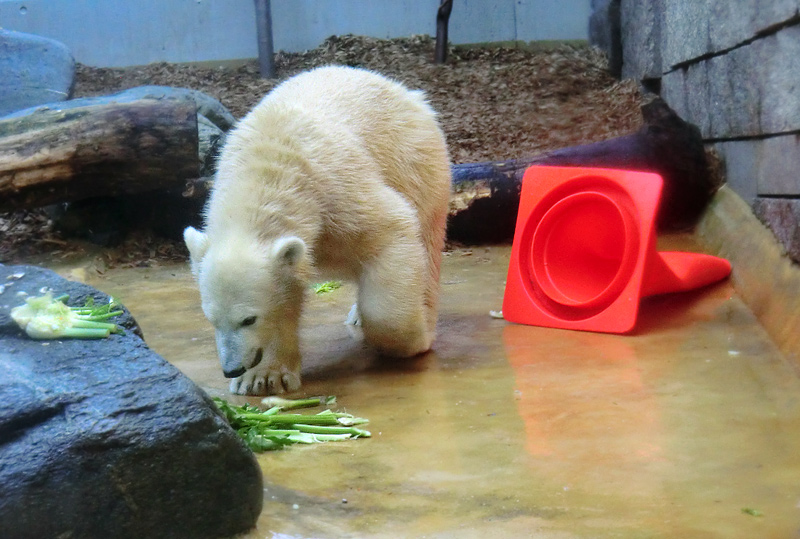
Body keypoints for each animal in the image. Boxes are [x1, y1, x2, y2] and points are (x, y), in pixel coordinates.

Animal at [184, 66, 454, 396]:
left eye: (249, 319)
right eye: (211, 318)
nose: (231, 368)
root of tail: (407, 93)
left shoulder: (338, 195)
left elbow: (392, 229)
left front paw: (412, 340)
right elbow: (285, 295)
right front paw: (263, 377)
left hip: (417, 166)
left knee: (425, 243)